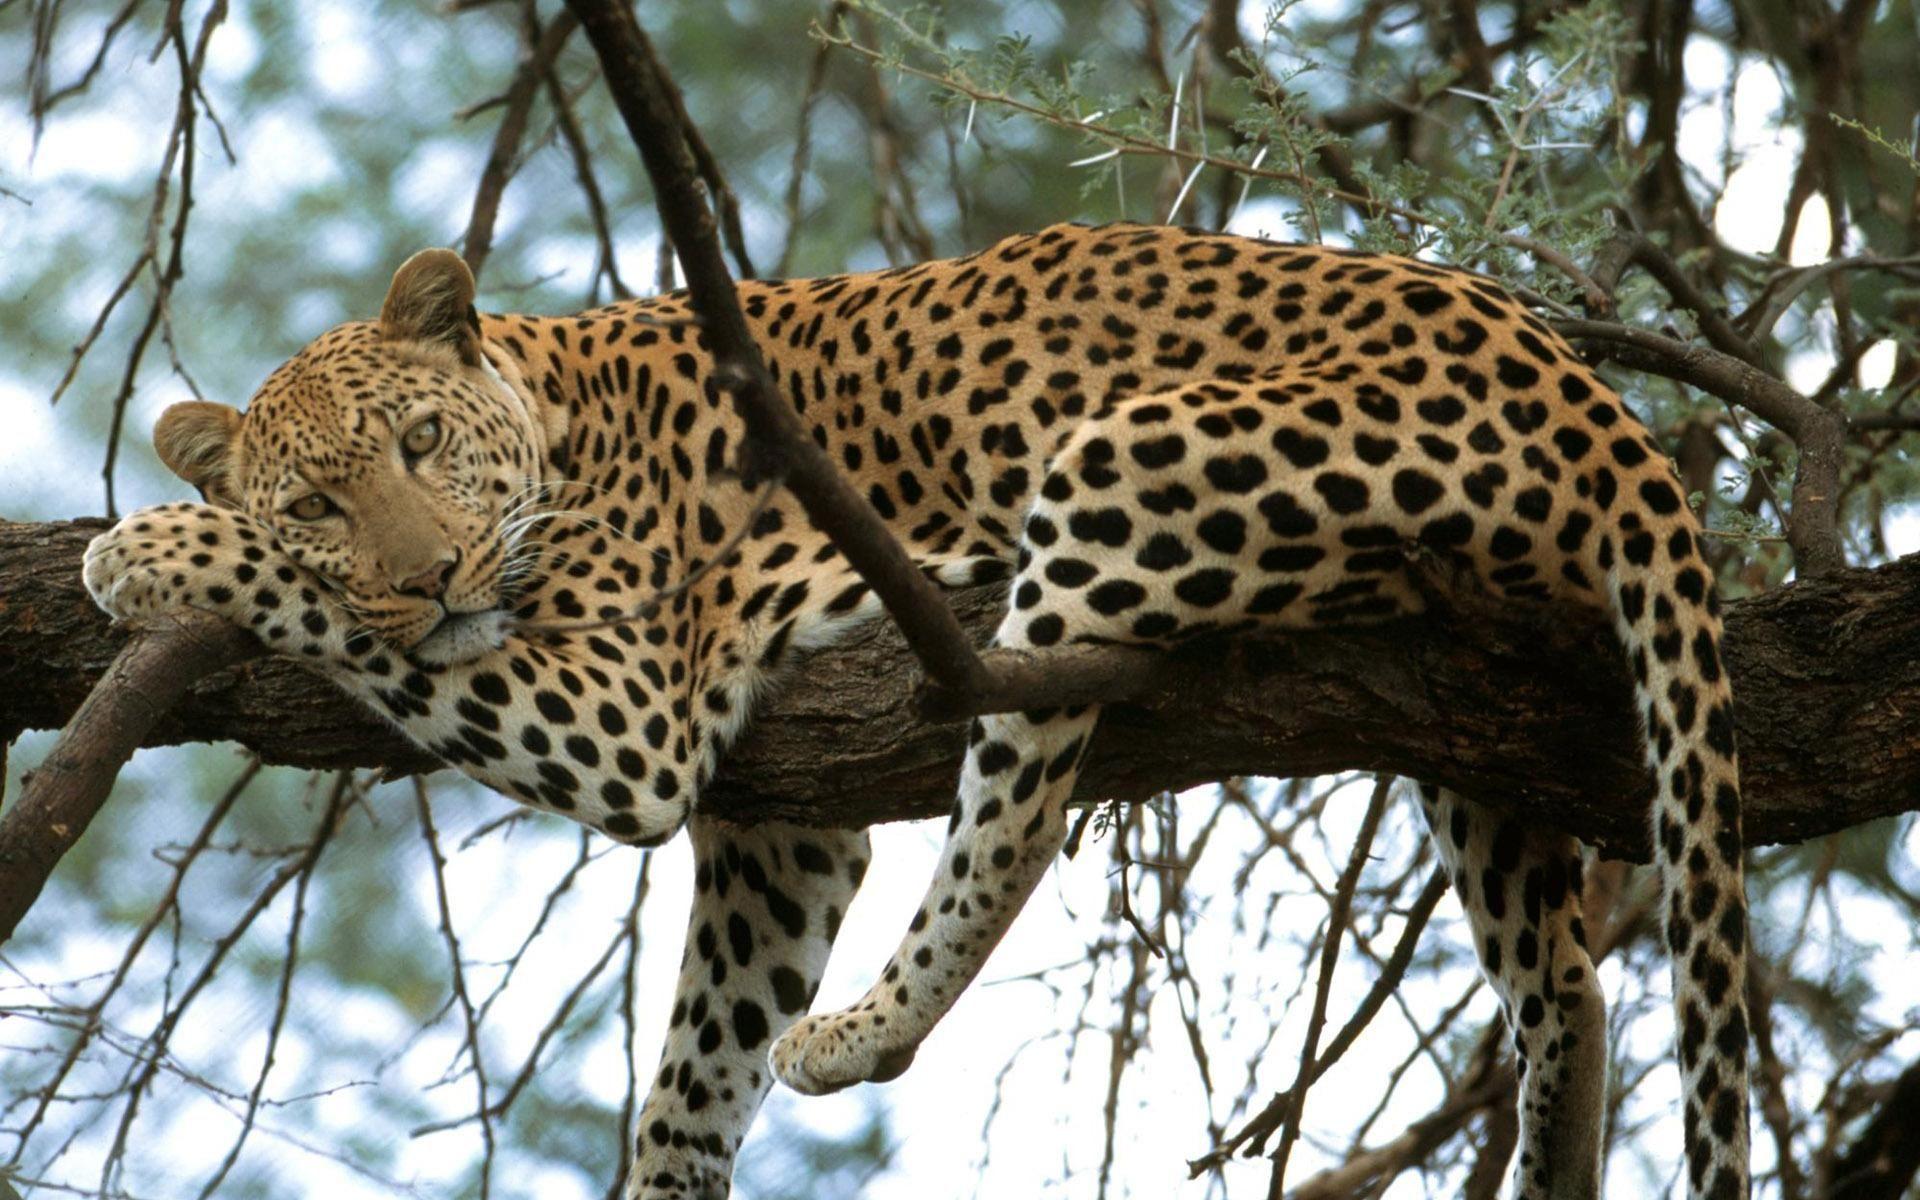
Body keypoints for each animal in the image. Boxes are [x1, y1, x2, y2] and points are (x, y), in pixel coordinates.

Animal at [83, 222, 1750, 1200]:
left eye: (423, 444)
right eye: (320, 499)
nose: (427, 580)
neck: (557, 405)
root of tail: (1592, 395)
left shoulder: (626, 714)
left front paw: (150, 549)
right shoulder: (775, 831)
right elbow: (695, 1067)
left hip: (1122, 465)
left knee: (1014, 815)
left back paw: (863, 1032)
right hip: (1467, 723)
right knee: (1567, 979)